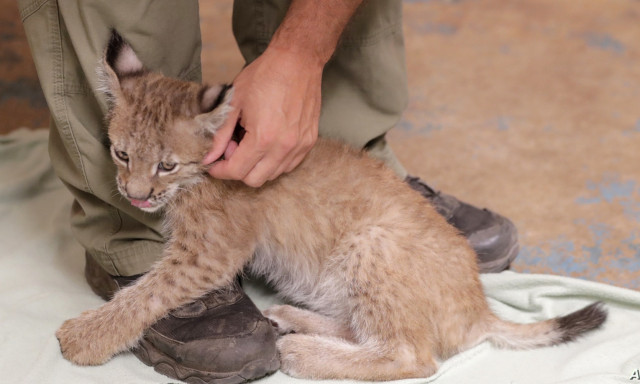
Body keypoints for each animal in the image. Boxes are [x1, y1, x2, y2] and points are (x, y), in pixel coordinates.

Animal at [55, 31, 604, 380]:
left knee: (415, 356)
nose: (134, 195)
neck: (198, 175)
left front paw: (85, 338)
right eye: (121, 155)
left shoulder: (207, 253)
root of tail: (478, 304)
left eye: (166, 166)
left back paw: (302, 350)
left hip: (372, 242)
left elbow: (146, 293)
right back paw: (294, 320)